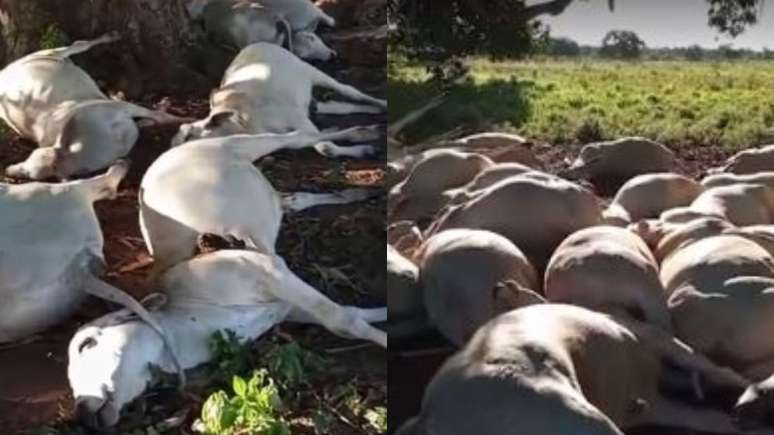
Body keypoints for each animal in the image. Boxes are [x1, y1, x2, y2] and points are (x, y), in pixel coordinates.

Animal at [0, 31, 189, 179]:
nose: (9, 170)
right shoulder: (121, 109)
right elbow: (159, 117)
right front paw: (186, 118)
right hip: (48, 54)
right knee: (77, 45)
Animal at [69, 249, 388, 430]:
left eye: (87, 344)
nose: (81, 411)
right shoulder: (287, 307)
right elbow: (349, 318)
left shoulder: (271, 275)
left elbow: (344, 319)